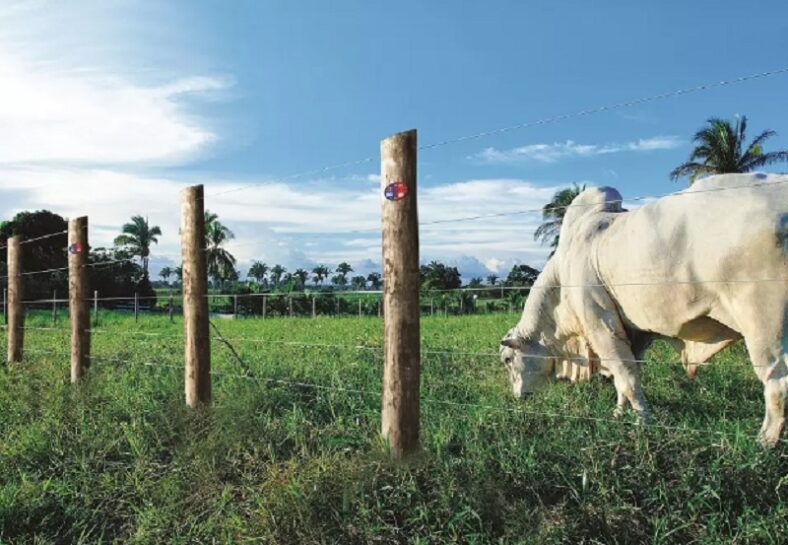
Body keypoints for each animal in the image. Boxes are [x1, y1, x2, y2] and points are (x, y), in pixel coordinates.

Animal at [502, 174, 788, 446]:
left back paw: (765, 442)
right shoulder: (634, 334)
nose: (518, 397)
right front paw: (619, 413)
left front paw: (643, 422)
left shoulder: (601, 327)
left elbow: (627, 377)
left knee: (777, 380)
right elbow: (623, 378)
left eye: (507, 359)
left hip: (763, 322)